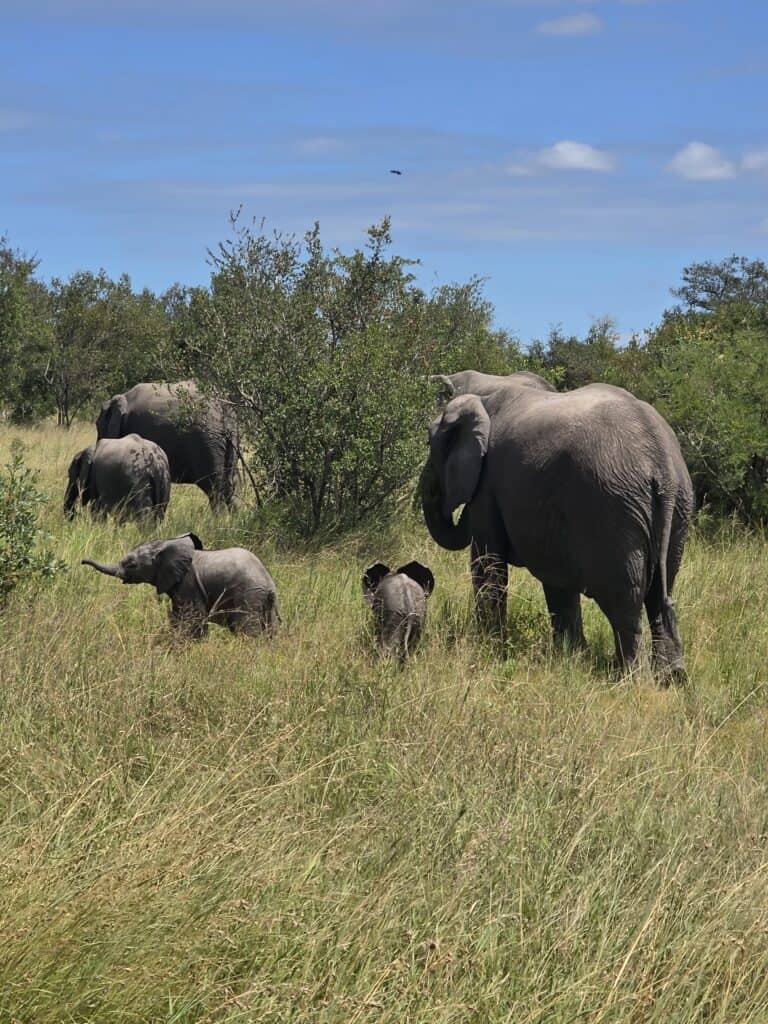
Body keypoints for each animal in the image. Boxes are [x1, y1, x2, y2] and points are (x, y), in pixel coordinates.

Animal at [83, 532, 279, 637]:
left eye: (131, 564)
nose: (82, 561)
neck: (166, 544)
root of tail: (269, 585)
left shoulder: (189, 584)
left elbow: (192, 619)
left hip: (248, 596)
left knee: (246, 630)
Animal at [96, 381, 237, 508]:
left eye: (98, 426)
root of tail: (223, 406)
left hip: (207, 440)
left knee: (214, 487)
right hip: (228, 438)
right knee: (229, 484)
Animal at [420, 380, 694, 680]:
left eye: (429, 444)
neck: (483, 400)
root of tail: (661, 463)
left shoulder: (486, 484)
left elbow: (487, 565)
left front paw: (488, 647)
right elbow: (557, 580)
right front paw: (571, 657)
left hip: (613, 511)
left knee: (626, 602)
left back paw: (630, 679)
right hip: (678, 509)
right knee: (660, 593)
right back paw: (672, 678)